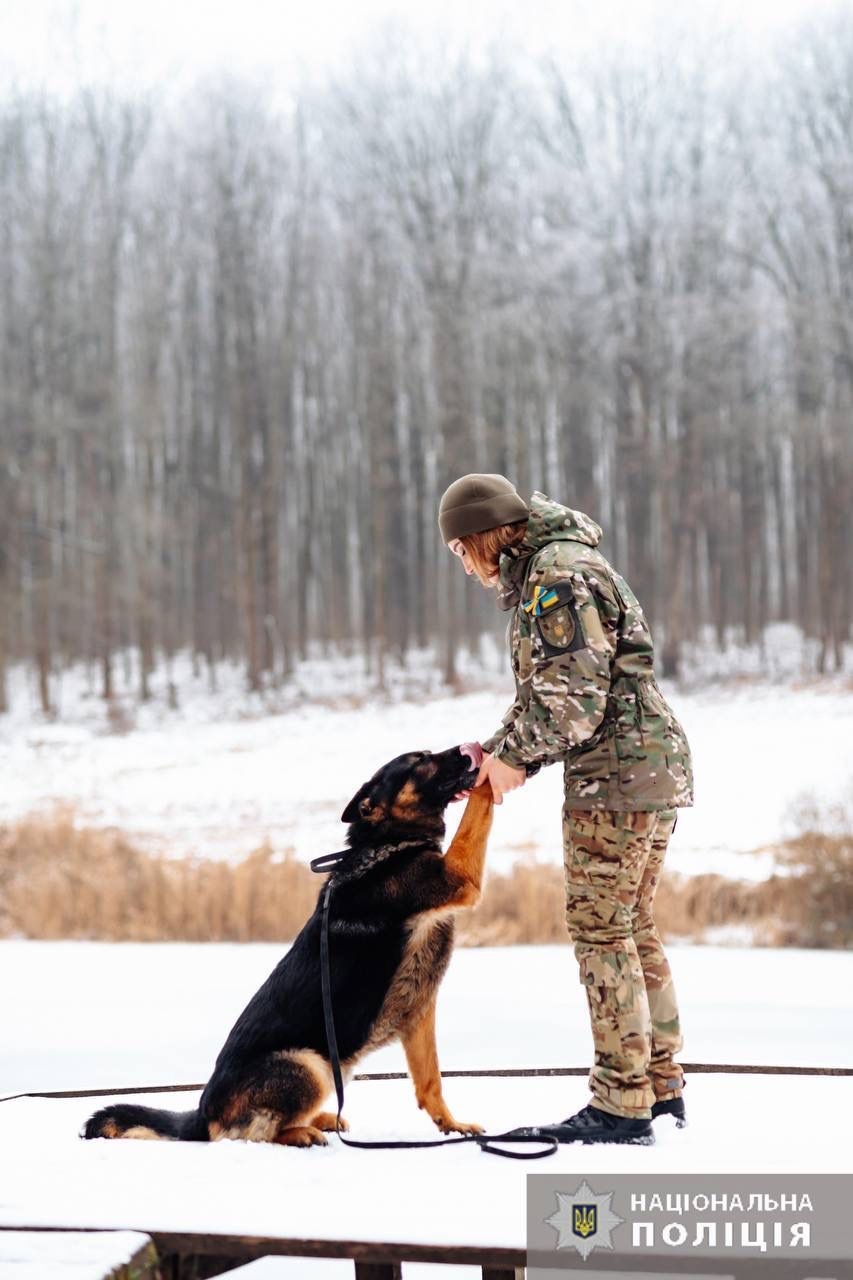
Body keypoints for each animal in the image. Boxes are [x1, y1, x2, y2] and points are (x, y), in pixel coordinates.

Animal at [81, 747, 491, 1146]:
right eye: (419, 759)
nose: (468, 749)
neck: (387, 843)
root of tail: (201, 1115)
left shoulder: (419, 1012)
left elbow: (430, 1081)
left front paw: (451, 1125)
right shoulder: (458, 875)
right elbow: (479, 811)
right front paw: (493, 771)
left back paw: (320, 1120)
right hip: (310, 1064)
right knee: (252, 1134)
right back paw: (303, 1131)